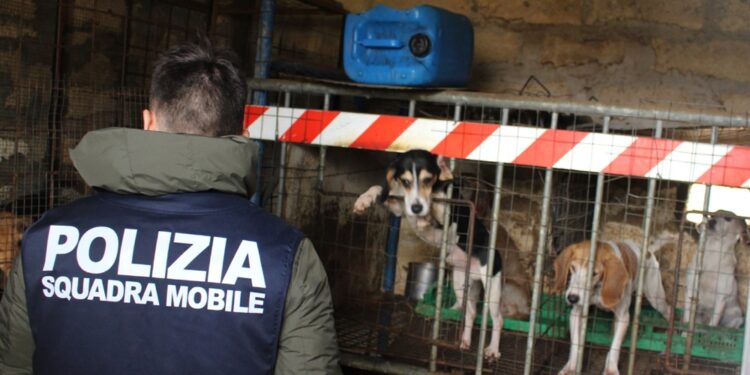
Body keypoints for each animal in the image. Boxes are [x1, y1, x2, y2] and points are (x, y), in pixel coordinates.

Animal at [356, 150, 532, 362]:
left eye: (428, 179)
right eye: (405, 181)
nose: (416, 208)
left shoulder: (449, 218)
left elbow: (437, 212)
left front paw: (426, 216)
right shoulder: (399, 208)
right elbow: (380, 190)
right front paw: (364, 199)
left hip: (493, 288)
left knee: (498, 319)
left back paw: (492, 350)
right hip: (461, 282)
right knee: (471, 313)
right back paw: (464, 341)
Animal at [548, 234, 680, 374]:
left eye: (594, 273)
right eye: (573, 268)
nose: (572, 298)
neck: (598, 288)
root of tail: (648, 250)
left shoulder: (623, 317)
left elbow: (615, 346)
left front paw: (611, 369)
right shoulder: (576, 313)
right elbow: (575, 344)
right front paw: (571, 367)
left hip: (656, 298)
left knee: (669, 311)